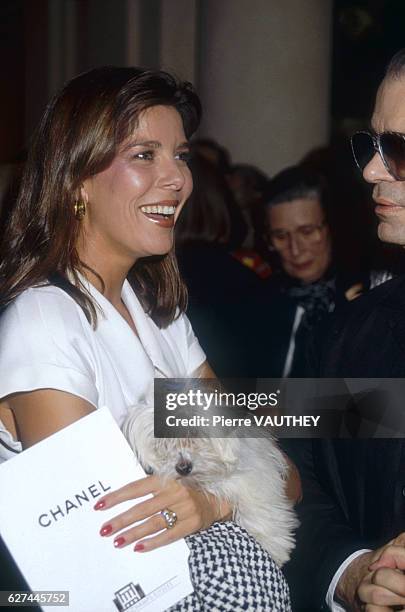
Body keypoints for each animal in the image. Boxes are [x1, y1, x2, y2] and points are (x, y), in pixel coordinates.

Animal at [120, 402, 296, 564]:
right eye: (162, 443)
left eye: (194, 432)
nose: (183, 467)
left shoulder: (255, 476)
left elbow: (257, 505)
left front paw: (273, 546)